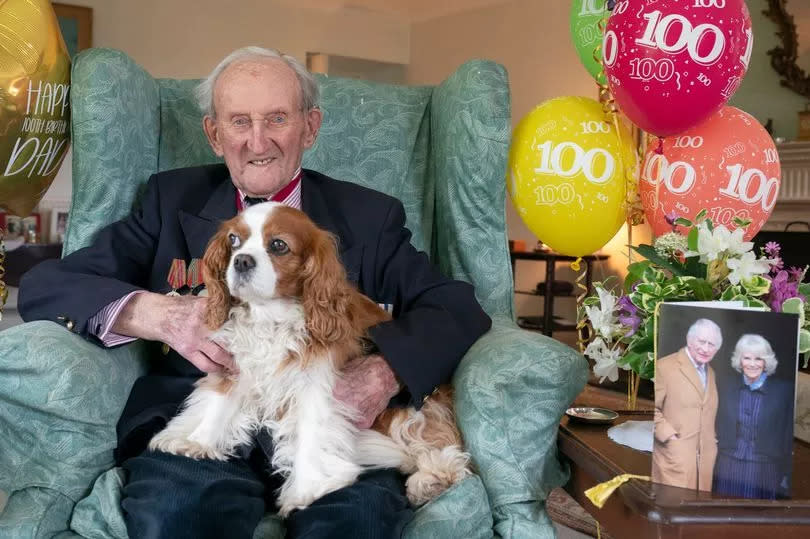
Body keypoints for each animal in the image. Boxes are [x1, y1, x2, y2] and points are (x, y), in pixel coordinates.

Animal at [148, 201, 470, 516]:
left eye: (278, 245)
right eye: (234, 240)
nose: (241, 260)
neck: (269, 316)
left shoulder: (315, 386)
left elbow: (310, 434)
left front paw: (308, 489)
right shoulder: (239, 365)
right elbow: (218, 404)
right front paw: (194, 440)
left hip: (407, 414)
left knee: (441, 451)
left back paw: (429, 481)